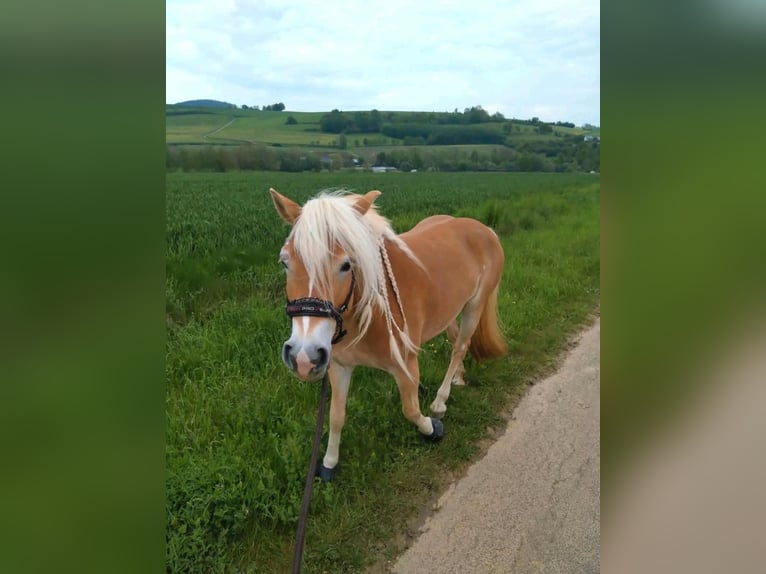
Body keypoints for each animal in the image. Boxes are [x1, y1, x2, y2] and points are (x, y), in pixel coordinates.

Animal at [272, 188, 510, 482]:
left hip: (474, 307)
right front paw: (329, 462)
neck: (368, 314)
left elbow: (411, 410)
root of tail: (485, 229)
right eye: (285, 262)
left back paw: (440, 401)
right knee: (455, 340)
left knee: (460, 346)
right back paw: (459, 377)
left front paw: (432, 428)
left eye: (346, 265)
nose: (303, 357)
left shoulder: (406, 365)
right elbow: (336, 416)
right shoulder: (339, 367)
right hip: (449, 312)